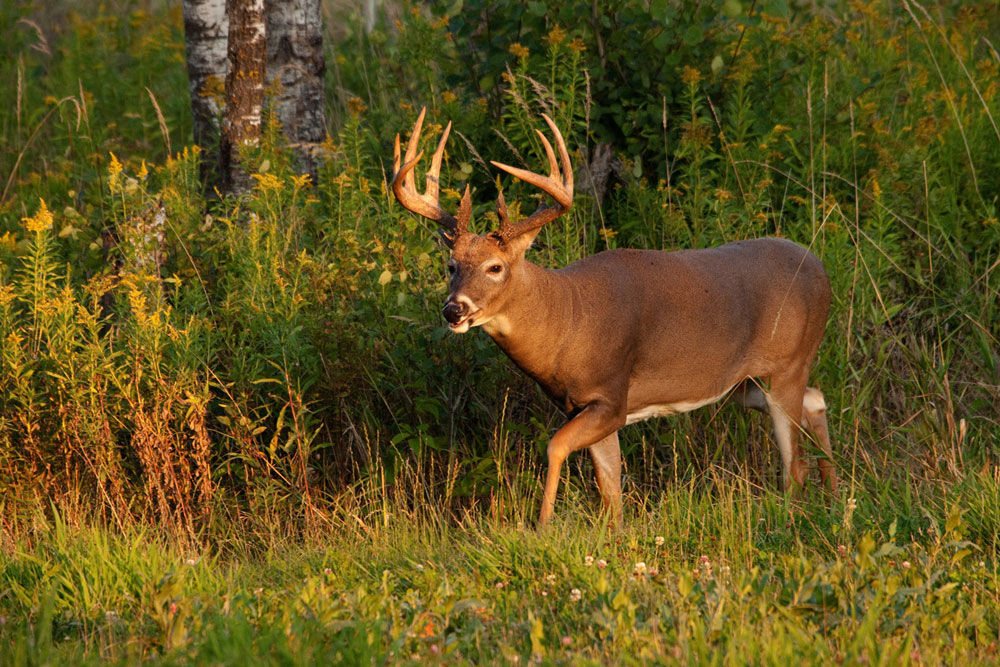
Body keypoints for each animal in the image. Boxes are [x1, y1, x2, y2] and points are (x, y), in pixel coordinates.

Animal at [390, 108, 836, 528]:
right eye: (451, 265)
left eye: (495, 267)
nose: (454, 309)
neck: (569, 320)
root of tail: (821, 269)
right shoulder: (581, 406)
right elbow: (612, 494)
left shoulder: (611, 397)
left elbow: (556, 448)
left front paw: (542, 526)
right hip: (745, 382)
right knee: (816, 400)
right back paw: (834, 498)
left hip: (788, 363)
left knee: (794, 465)